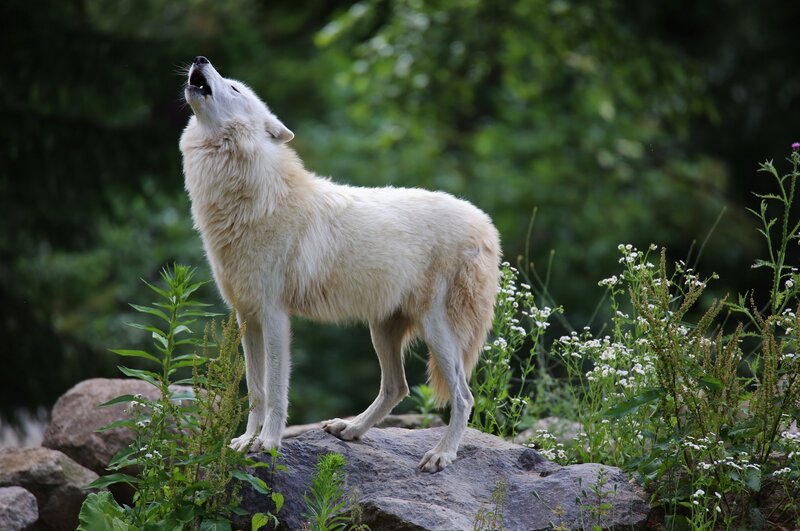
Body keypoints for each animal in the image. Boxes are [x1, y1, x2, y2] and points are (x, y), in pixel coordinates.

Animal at [179, 56, 500, 472]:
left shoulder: (275, 316)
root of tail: (486, 224)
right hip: (382, 329)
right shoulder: (246, 318)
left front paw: (268, 443)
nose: (201, 59)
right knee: (397, 386)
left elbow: (277, 391)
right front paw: (245, 442)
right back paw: (350, 429)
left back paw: (441, 454)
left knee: (463, 395)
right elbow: (255, 391)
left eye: (234, 88)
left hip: (438, 332)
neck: (253, 197)